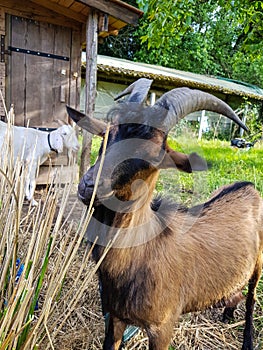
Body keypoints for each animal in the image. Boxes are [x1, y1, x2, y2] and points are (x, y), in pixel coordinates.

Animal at [67, 79, 262, 350]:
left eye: (153, 156)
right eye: (107, 135)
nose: (89, 186)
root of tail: (249, 186)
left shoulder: (162, 326)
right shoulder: (114, 317)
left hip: (259, 263)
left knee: (252, 297)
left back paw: (248, 340)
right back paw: (227, 312)